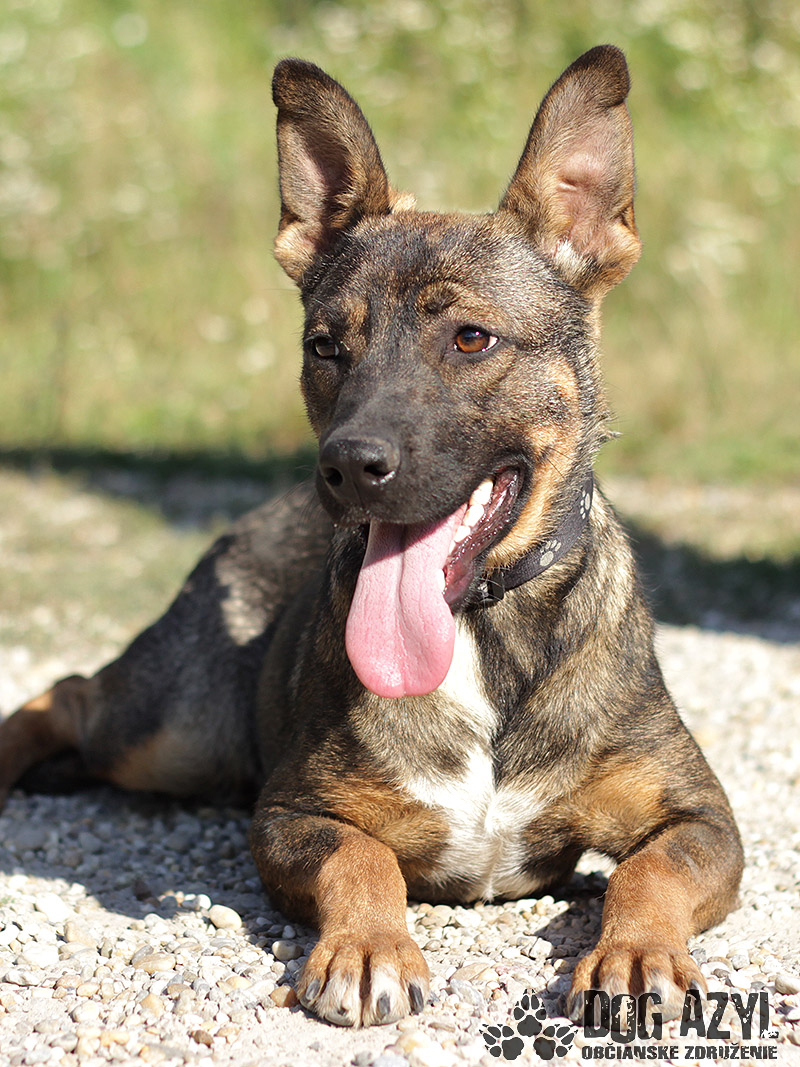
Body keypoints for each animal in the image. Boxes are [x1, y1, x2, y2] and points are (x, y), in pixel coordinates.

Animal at [0, 46, 743, 1029]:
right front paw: (367, 947)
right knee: (74, 691)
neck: (481, 632)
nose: (347, 467)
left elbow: (650, 872)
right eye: (325, 346)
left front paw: (636, 952)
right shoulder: (292, 812)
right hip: (175, 728)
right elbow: (365, 855)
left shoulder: (703, 818)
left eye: (471, 338)